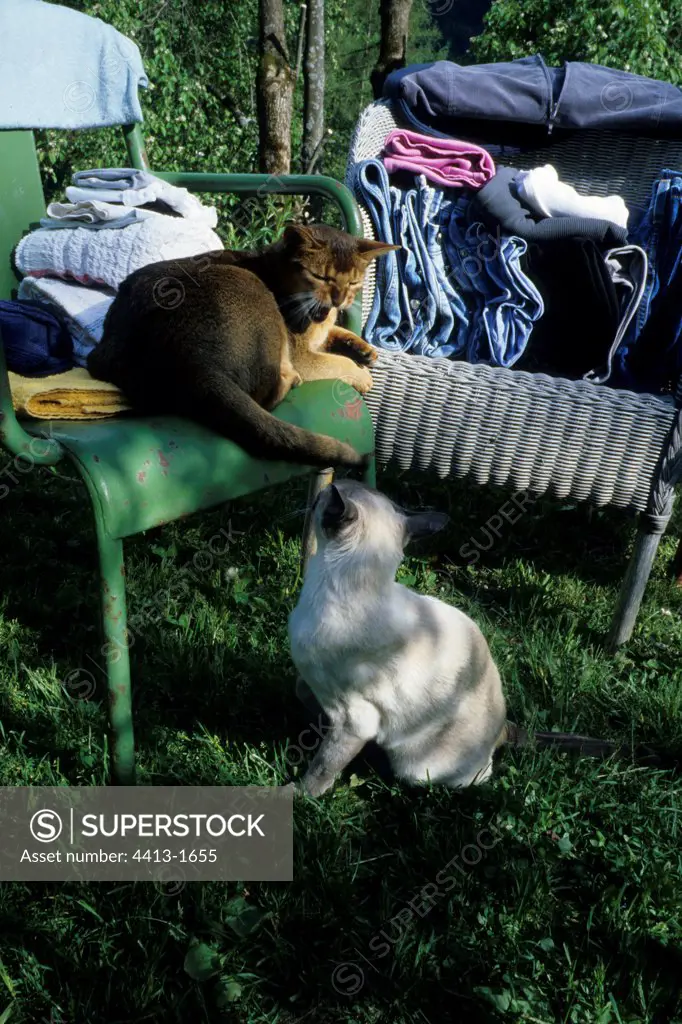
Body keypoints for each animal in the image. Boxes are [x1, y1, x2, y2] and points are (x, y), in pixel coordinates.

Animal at [90, 225, 399, 468]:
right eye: (322, 277)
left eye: (354, 282)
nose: (340, 299)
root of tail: (188, 363)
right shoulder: (302, 354)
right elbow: (337, 362)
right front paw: (362, 374)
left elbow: (337, 331)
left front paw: (364, 349)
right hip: (249, 288)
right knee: (265, 395)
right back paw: (291, 379)